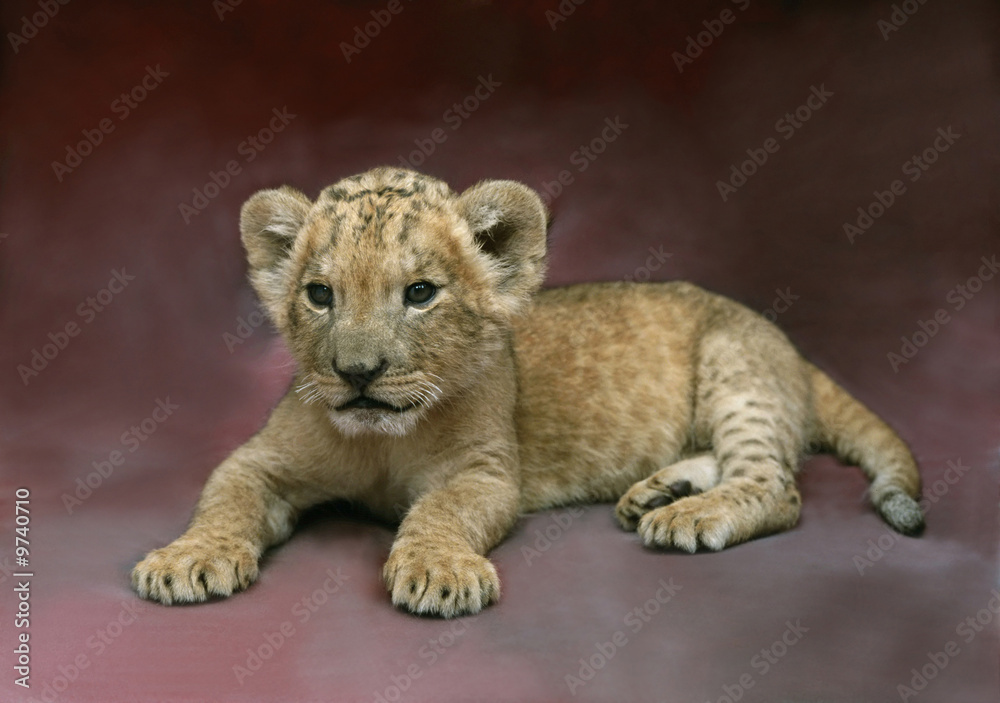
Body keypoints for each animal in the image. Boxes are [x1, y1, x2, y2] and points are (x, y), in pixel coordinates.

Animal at [132, 167, 924, 617]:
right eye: (319, 295)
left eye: (420, 293)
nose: (357, 372)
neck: (385, 444)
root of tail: (792, 347)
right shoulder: (261, 459)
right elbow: (225, 499)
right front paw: (186, 559)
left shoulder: (486, 473)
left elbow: (442, 510)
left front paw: (438, 570)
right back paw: (655, 493)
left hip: (736, 372)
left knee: (775, 485)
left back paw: (687, 515)